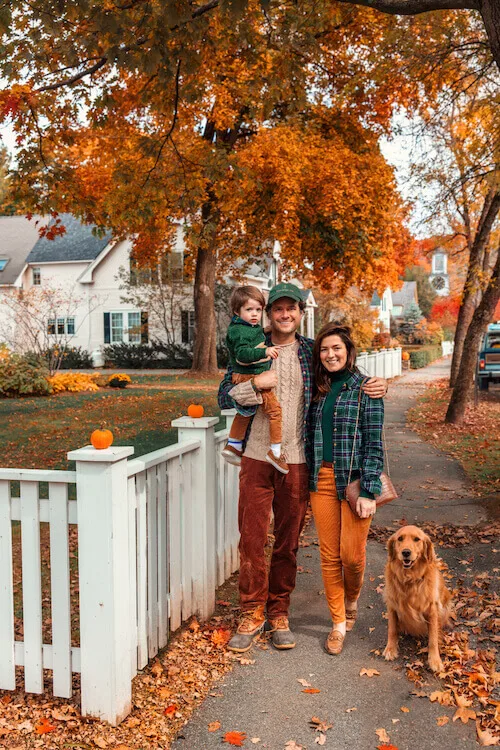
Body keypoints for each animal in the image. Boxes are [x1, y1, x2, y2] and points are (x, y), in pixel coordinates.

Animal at [382, 524, 454, 676]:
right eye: (400, 539)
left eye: (417, 539)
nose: (406, 552)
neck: (410, 579)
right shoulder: (392, 605)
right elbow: (392, 629)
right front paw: (390, 649)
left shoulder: (432, 609)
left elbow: (433, 638)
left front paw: (435, 660)